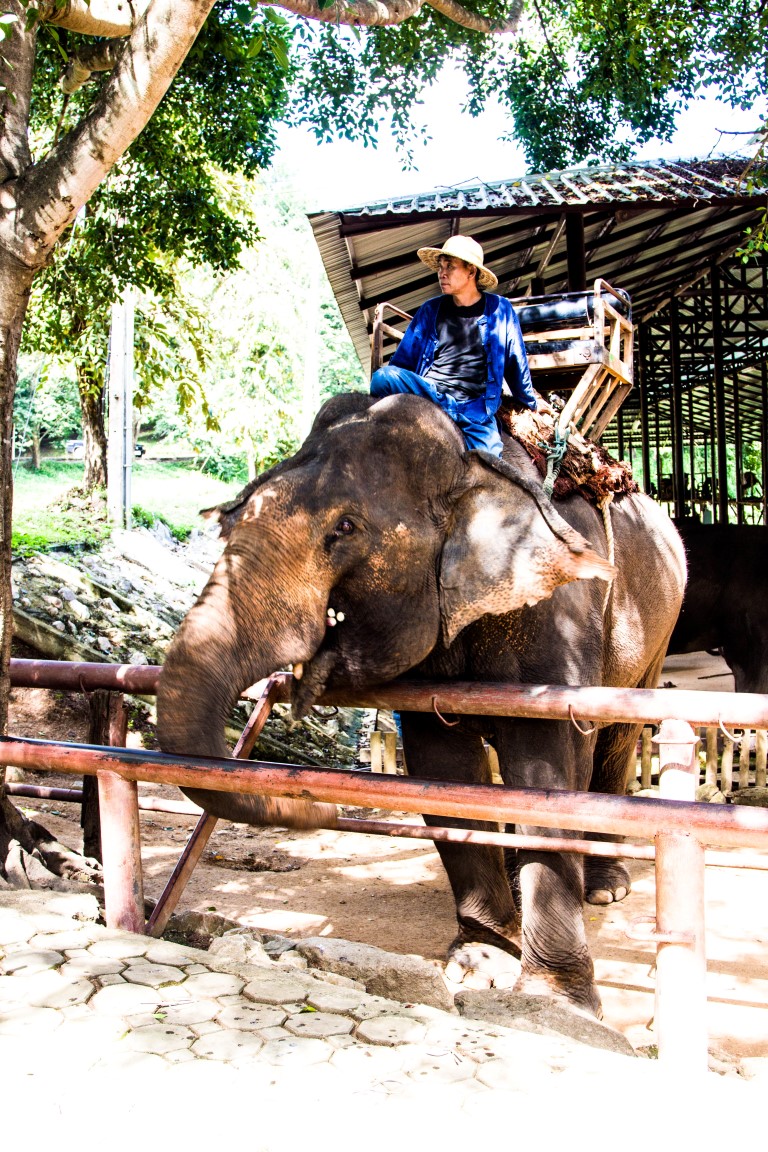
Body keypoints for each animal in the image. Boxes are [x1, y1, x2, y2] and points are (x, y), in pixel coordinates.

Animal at [157, 391, 686, 1016]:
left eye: (345, 527)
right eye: (233, 519)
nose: (319, 812)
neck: (472, 467)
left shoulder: (559, 614)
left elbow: (549, 771)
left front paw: (558, 1001)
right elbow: (445, 772)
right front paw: (481, 963)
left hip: (656, 629)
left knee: (618, 737)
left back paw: (603, 887)